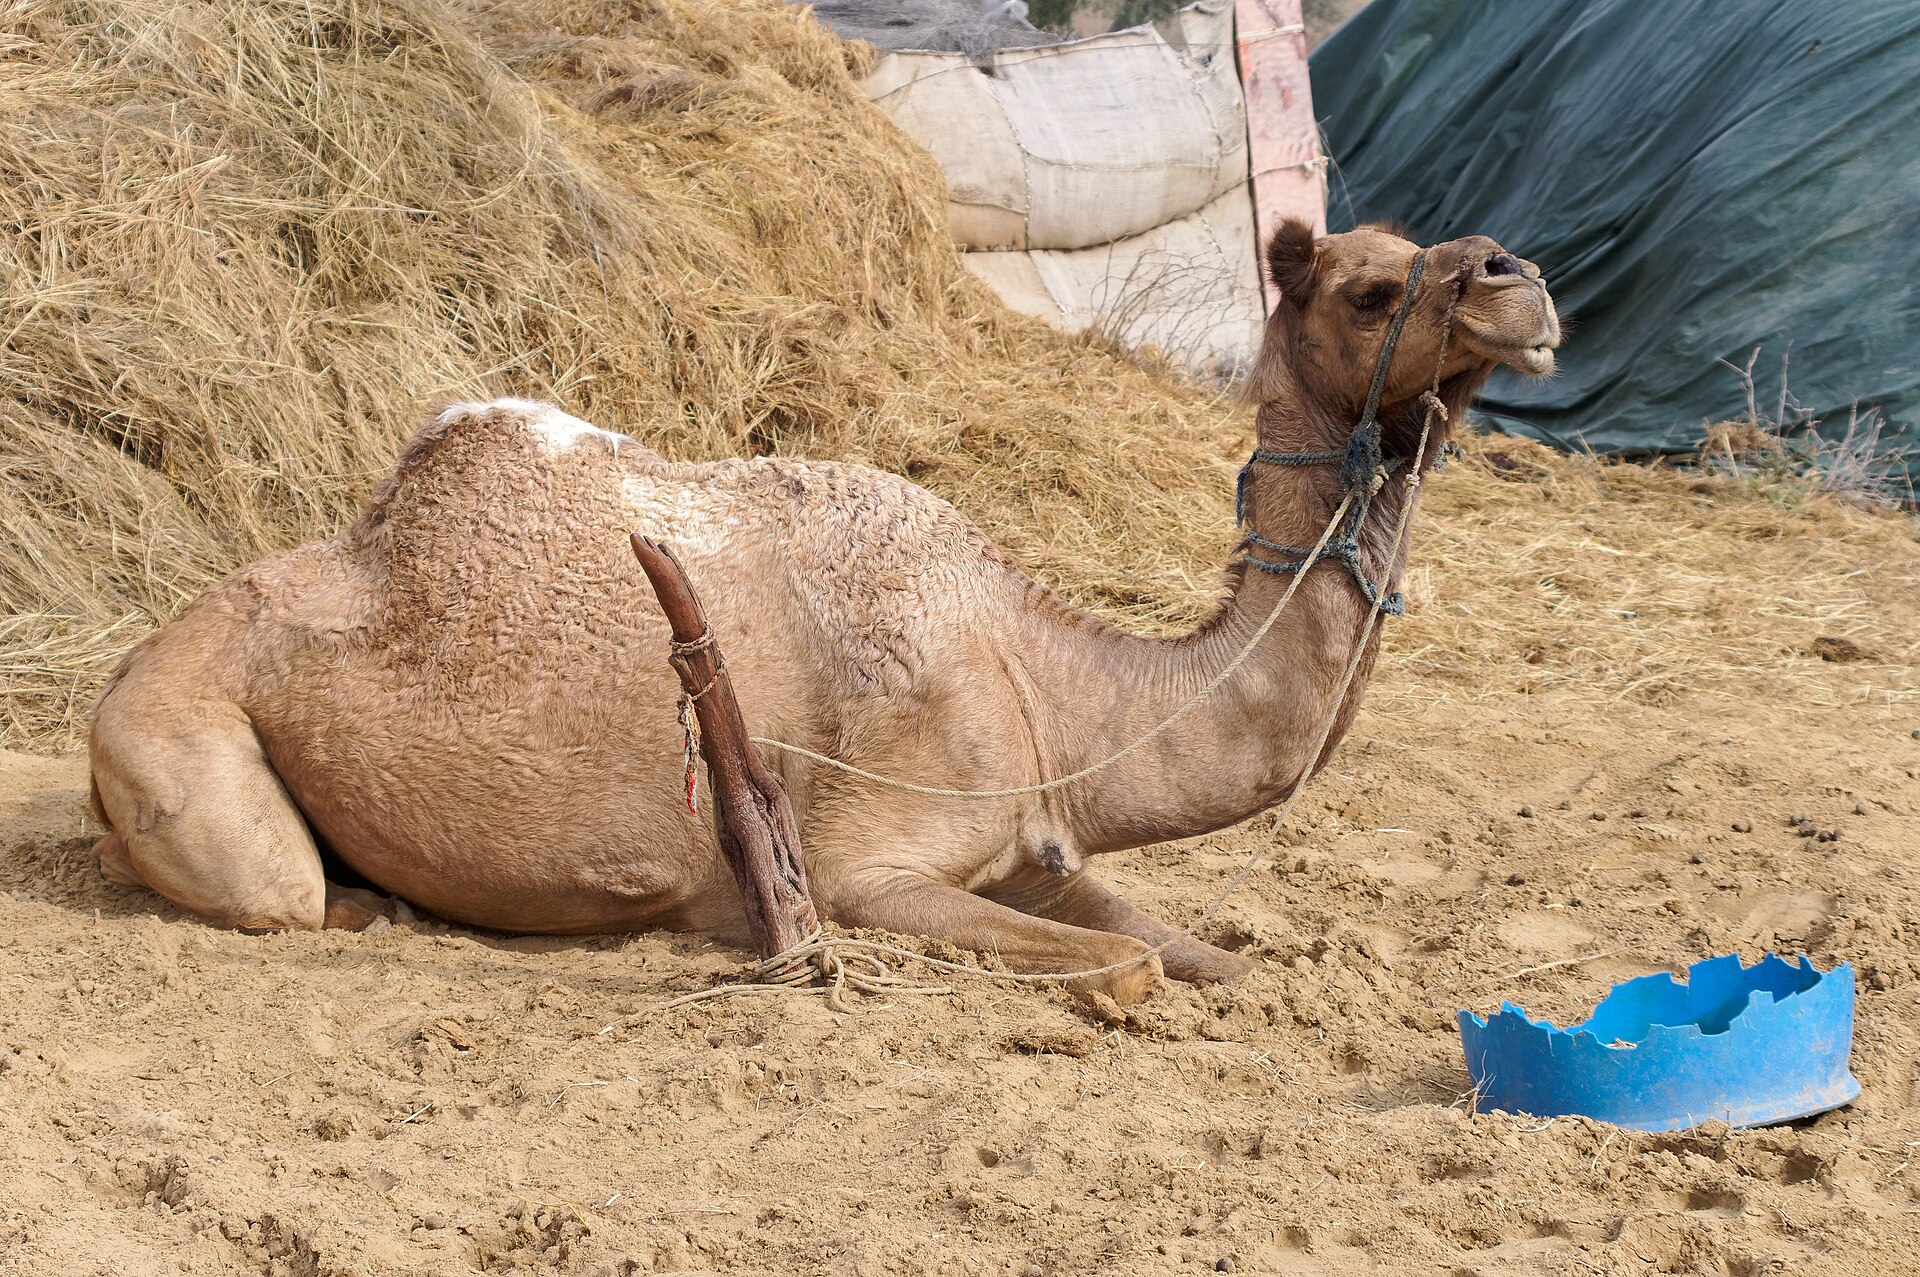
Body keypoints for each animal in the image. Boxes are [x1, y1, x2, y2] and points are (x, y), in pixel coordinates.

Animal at [87, 220, 1560, 1005]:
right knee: (278, 891)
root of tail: (130, 661)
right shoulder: (871, 865)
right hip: (177, 738)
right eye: (1371, 286)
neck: (1041, 670)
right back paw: (383, 910)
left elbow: (1215, 958)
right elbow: (1122, 968)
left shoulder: (1033, 843)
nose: (1516, 277)